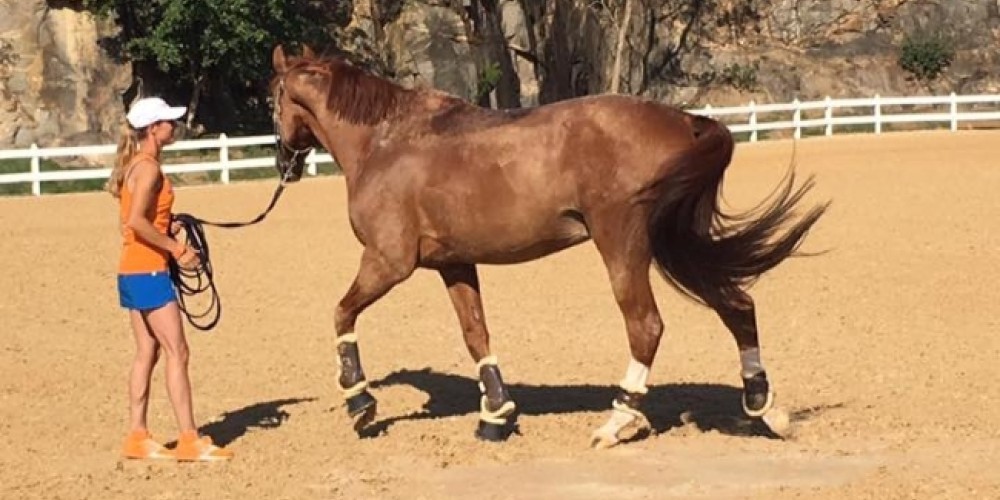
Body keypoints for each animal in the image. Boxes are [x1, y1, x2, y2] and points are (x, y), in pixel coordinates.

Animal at [268, 44, 828, 447]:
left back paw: (617, 423)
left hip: (623, 243)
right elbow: (476, 335)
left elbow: (342, 313)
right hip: (678, 243)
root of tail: (687, 121)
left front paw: (359, 401)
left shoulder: (388, 261)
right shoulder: (455, 264)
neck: (385, 141)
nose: (284, 162)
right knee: (737, 305)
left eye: (273, 99)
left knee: (646, 326)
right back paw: (764, 408)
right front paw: (496, 416)